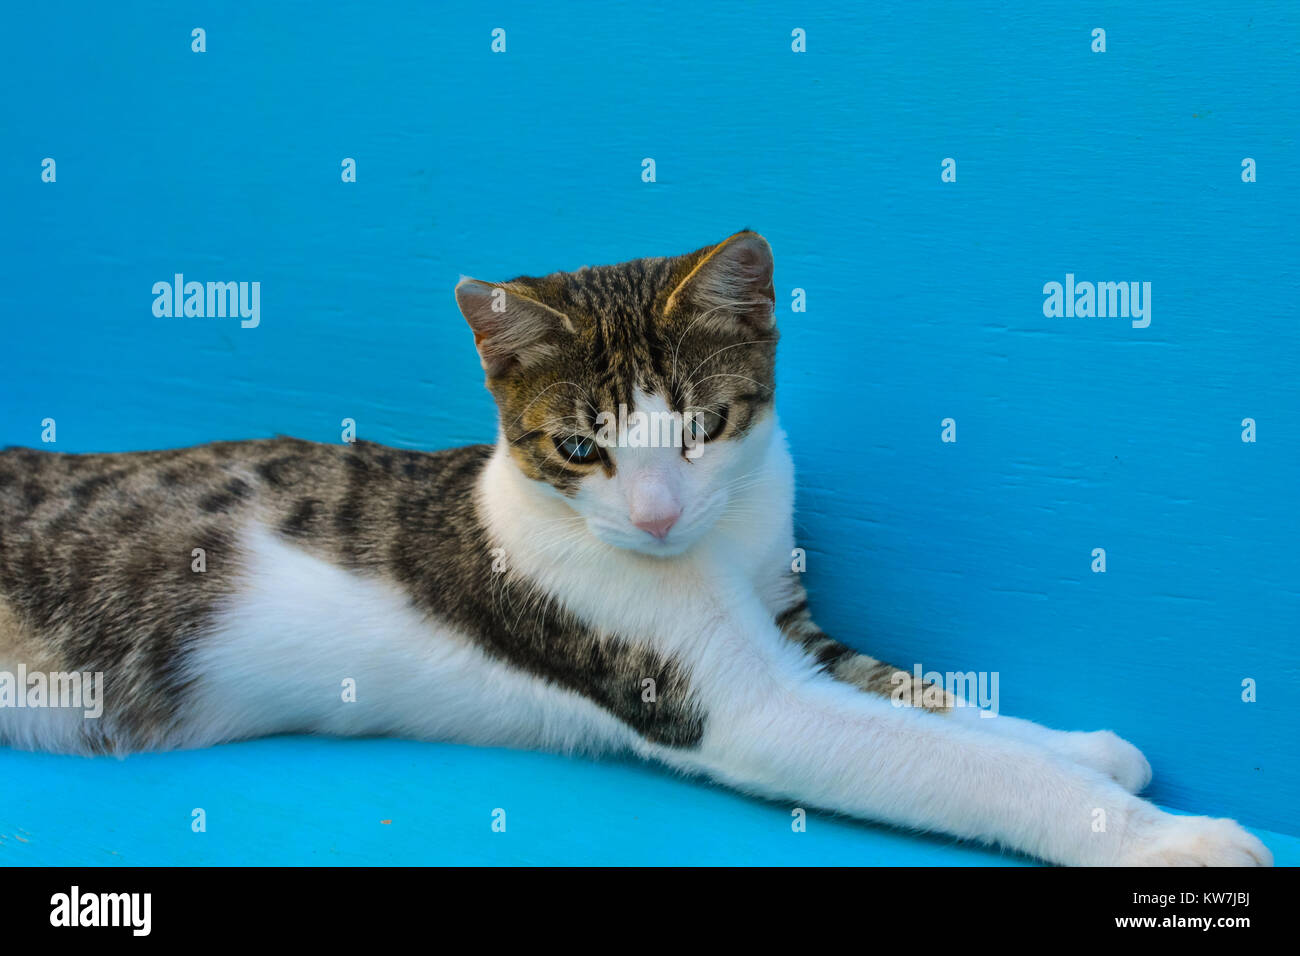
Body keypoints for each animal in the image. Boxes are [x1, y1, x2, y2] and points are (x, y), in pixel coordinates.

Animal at [0, 230, 1268, 868]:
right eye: (579, 446)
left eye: (703, 425)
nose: (656, 516)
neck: (714, 543)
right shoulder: (734, 698)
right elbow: (956, 759)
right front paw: (1176, 839)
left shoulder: (793, 626)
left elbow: (929, 696)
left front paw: (1085, 747)